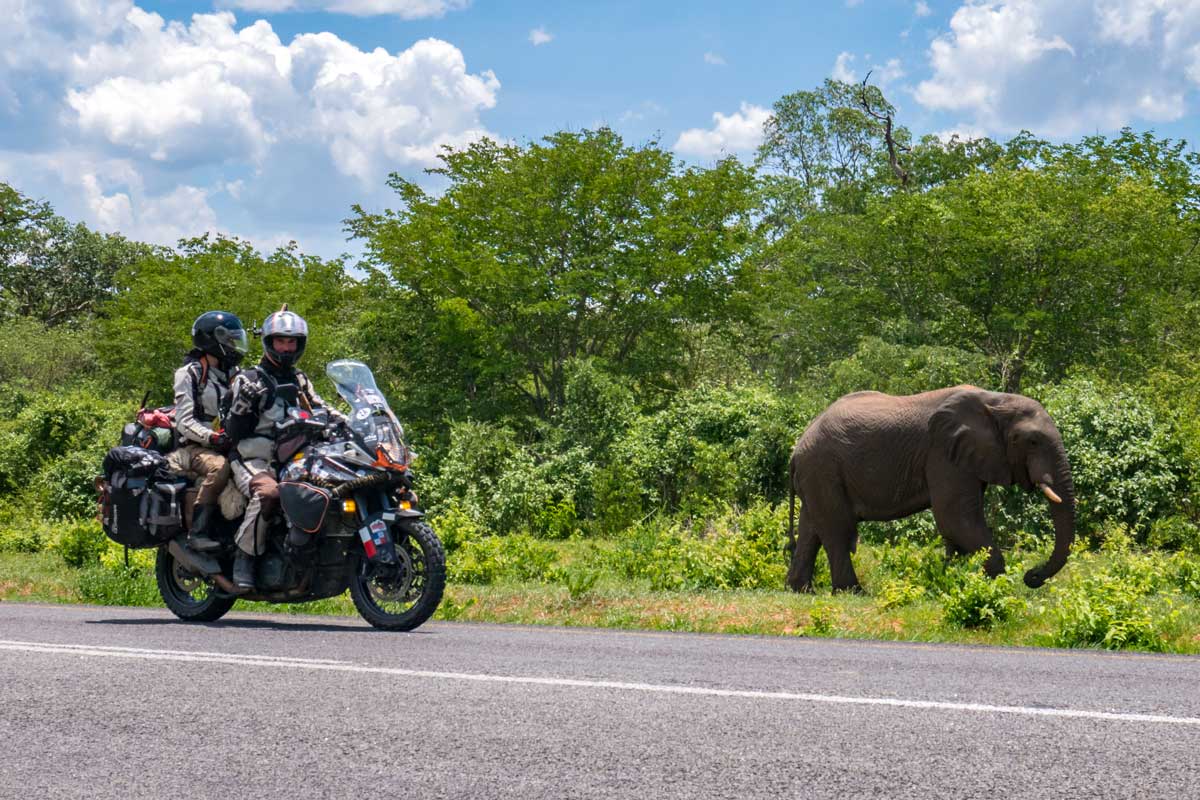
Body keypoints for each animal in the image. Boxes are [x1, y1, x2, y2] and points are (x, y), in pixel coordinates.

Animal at [785, 385, 1075, 593]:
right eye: (1033, 441)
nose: (1032, 576)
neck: (995, 400)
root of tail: (797, 449)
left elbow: (957, 525)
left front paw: (955, 579)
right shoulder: (942, 454)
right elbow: (955, 517)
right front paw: (997, 588)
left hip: (817, 474)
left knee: (811, 529)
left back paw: (800, 590)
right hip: (823, 469)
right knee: (837, 529)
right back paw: (852, 592)